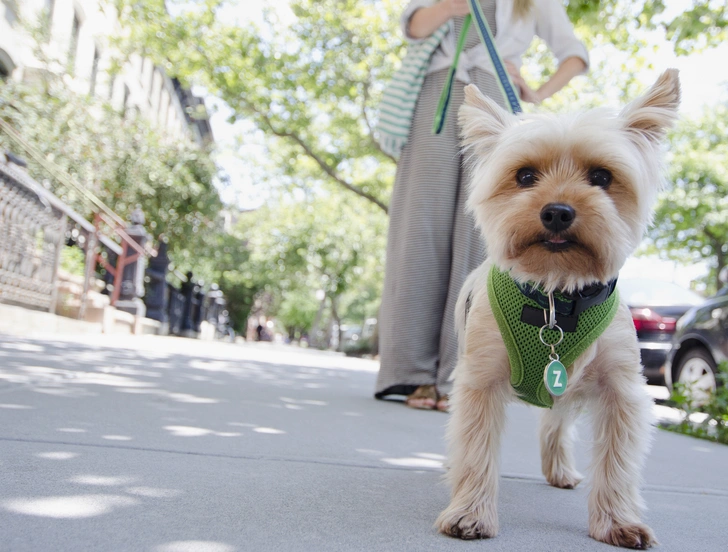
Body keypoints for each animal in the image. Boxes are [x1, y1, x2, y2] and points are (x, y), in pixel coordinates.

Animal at [436, 70, 680, 548]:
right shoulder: (479, 381)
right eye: (525, 176)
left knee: (555, 424)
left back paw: (560, 470)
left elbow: (618, 463)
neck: (554, 294)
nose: (557, 212)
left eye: (602, 176)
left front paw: (617, 521)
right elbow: (474, 447)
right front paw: (470, 512)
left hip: (565, 386)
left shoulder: (621, 390)